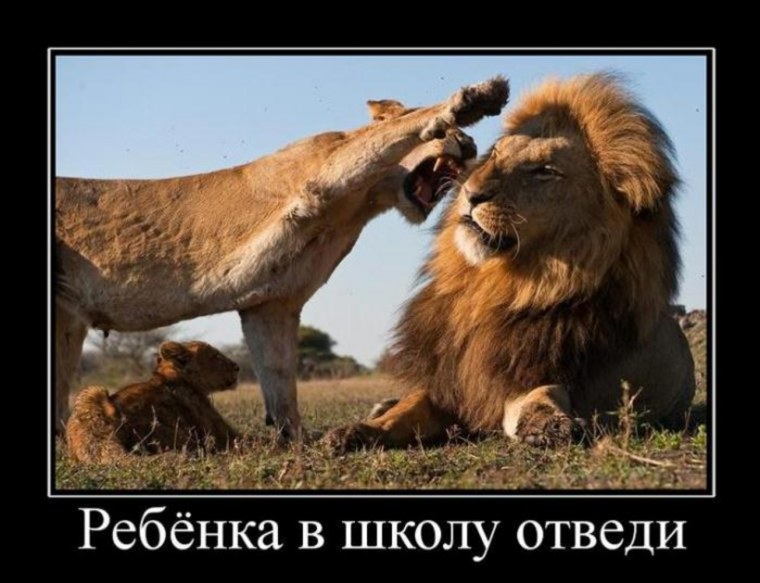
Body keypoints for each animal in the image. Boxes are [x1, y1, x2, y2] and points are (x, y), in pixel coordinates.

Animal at [55, 77, 510, 439]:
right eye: (451, 132)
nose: (470, 145)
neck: (361, 204)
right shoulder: (323, 170)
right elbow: (385, 136)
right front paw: (476, 98)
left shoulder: (272, 303)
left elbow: (279, 379)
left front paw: (295, 440)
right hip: (65, 311)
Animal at [327, 73, 696, 451]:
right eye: (496, 154)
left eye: (545, 171)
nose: (470, 194)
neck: (493, 287)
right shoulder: (452, 384)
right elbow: (409, 406)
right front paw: (356, 431)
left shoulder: (521, 377)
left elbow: (540, 396)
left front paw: (551, 425)